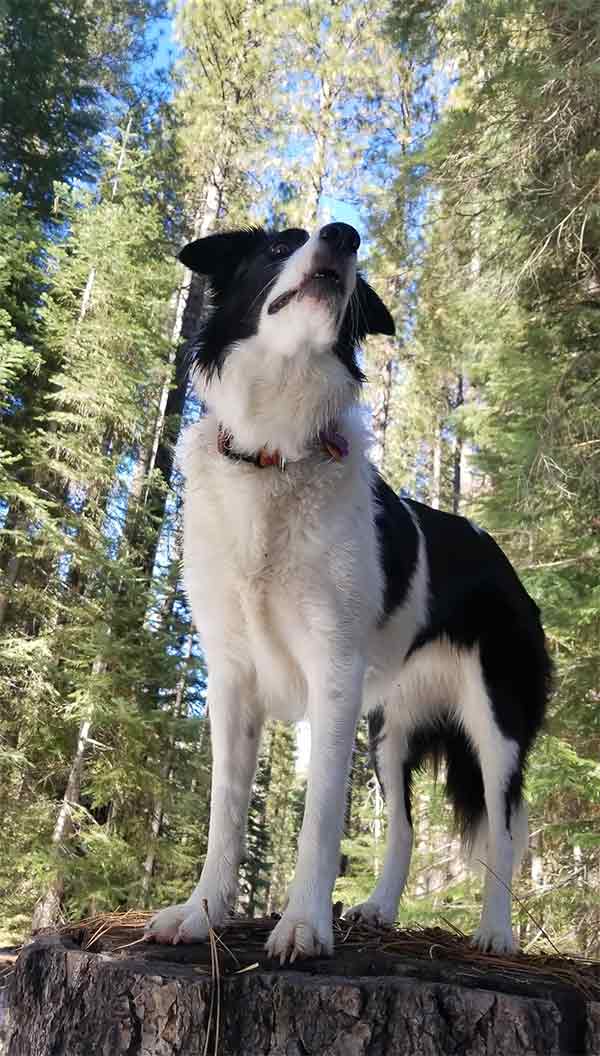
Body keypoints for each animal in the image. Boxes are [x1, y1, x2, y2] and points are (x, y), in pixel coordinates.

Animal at [143, 224, 549, 967]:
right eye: (278, 247)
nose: (343, 233)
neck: (274, 451)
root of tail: (506, 565)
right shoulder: (233, 679)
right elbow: (225, 811)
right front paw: (203, 912)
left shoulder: (330, 673)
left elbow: (322, 818)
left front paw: (303, 925)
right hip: (387, 731)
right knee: (405, 830)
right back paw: (381, 909)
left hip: (495, 721)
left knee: (505, 827)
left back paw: (496, 932)